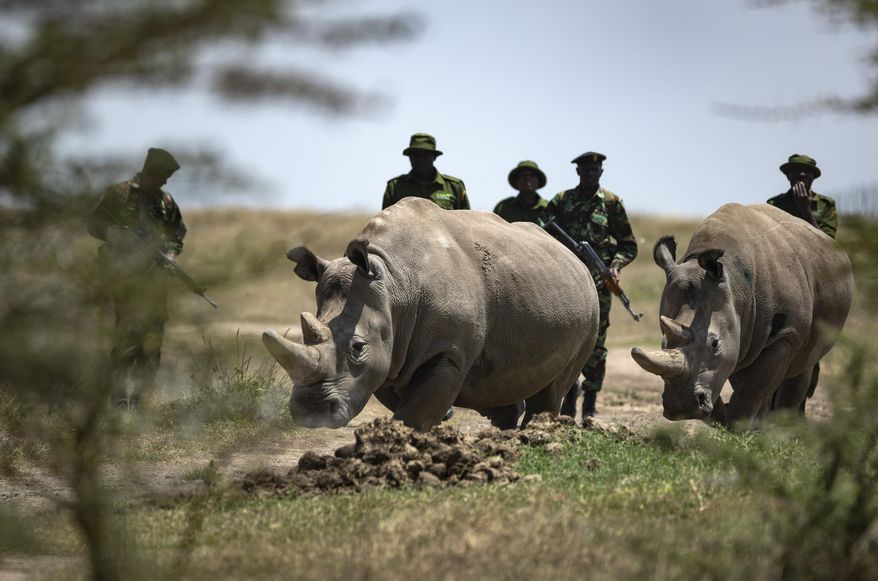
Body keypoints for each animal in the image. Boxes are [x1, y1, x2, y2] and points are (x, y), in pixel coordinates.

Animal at [263, 197, 599, 431]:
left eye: (358, 347)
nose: (311, 413)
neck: (394, 282)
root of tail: (577, 260)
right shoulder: (393, 356)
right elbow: (409, 406)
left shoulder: (448, 352)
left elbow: (413, 412)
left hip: (591, 310)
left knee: (553, 389)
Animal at [631, 203, 852, 429]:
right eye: (663, 342)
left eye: (714, 344)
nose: (680, 408)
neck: (734, 284)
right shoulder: (737, 328)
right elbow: (733, 375)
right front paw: (725, 420)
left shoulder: (786, 334)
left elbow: (754, 387)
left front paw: (738, 428)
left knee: (804, 363)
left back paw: (781, 427)